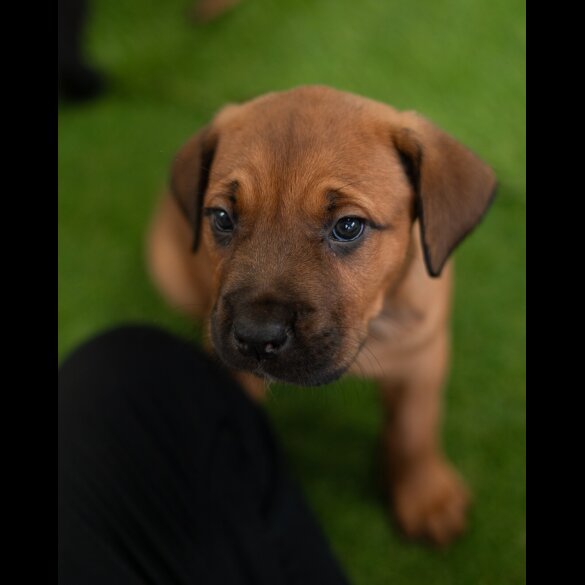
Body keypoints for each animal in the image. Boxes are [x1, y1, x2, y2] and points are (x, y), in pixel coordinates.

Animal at [147, 84, 498, 544]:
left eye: (348, 226)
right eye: (222, 217)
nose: (256, 337)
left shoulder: (425, 354)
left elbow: (415, 428)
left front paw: (425, 495)